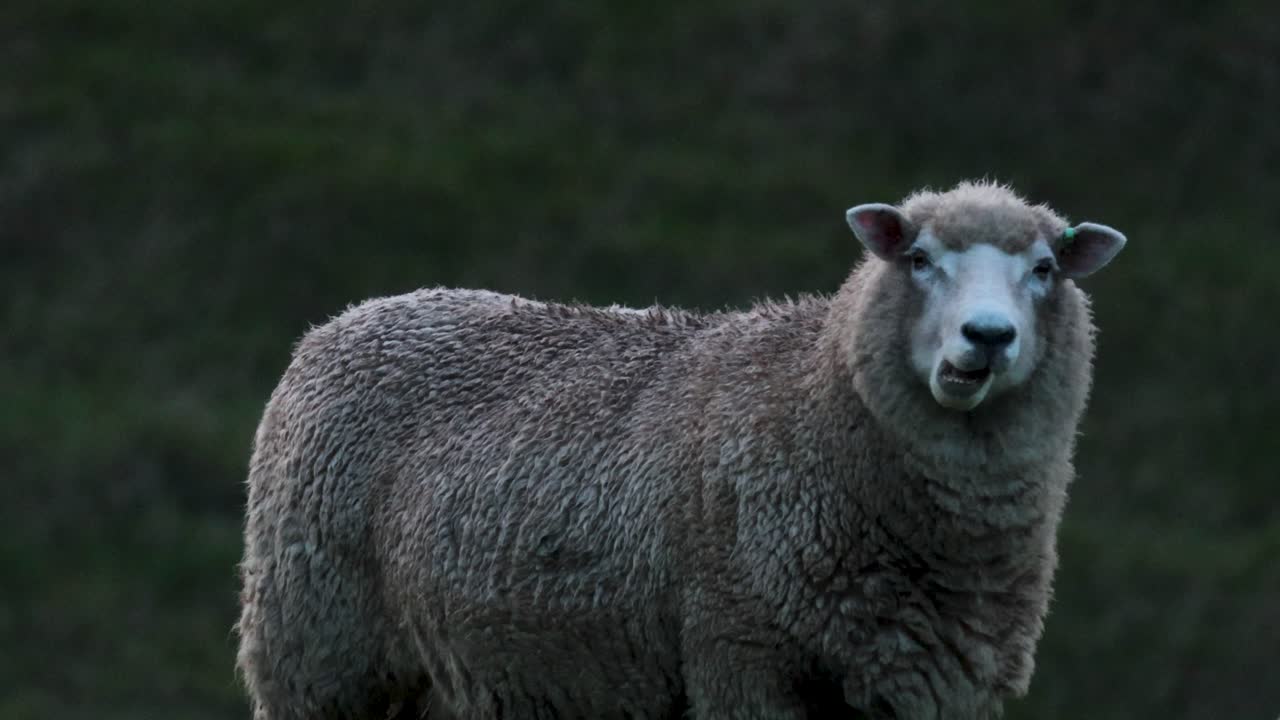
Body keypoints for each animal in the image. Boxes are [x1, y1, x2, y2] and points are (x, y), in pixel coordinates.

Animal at [235, 181, 1127, 720]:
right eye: (918, 259)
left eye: (1045, 269)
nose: (987, 337)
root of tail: (345, 319)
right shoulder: (743, 657)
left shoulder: (930, 686)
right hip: (320, 655)